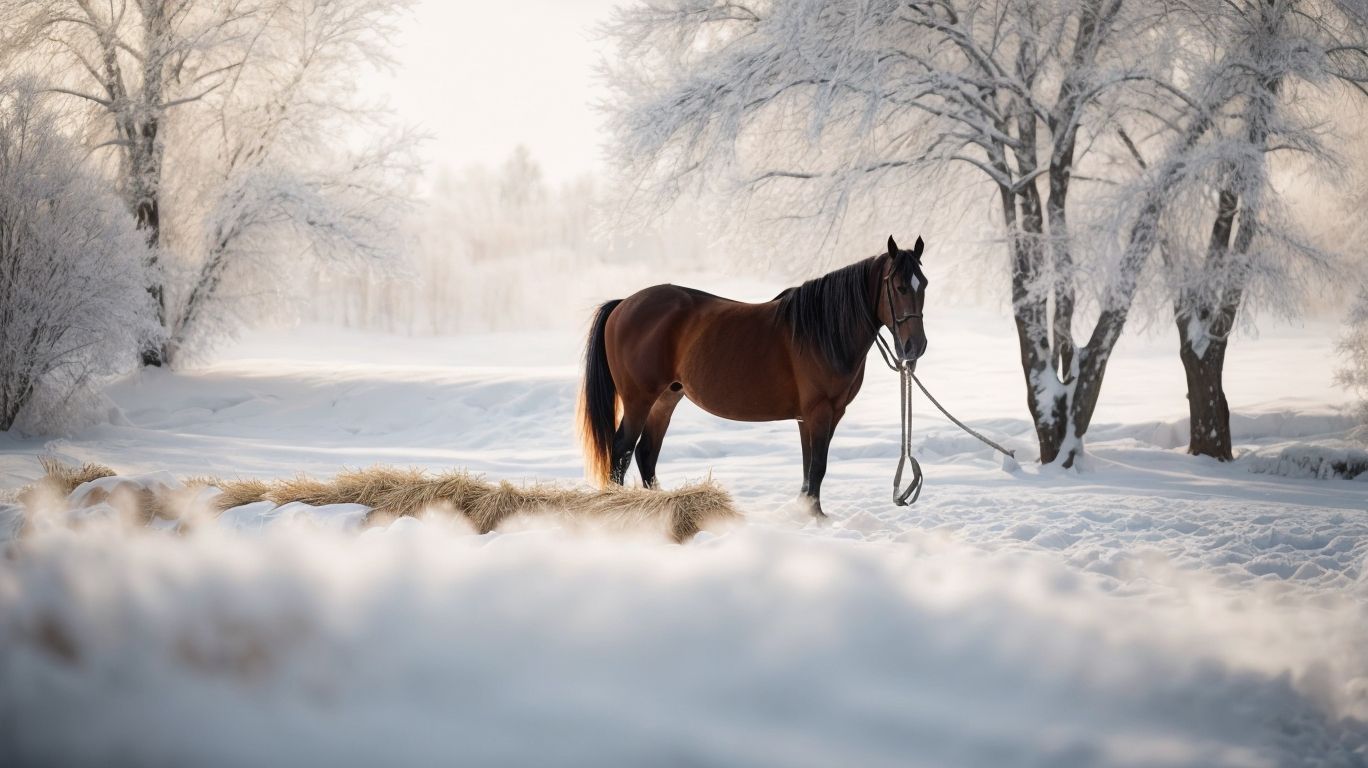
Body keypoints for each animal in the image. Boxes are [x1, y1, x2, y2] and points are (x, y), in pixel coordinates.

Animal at [578, 236, 928, 518]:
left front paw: (806, 512)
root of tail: (623, 304)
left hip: (666, 398)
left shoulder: (819, 415)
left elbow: (809, 468)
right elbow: (818, 466)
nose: (916, 346)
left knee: (646, 453)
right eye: (899, 286)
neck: (823, 331)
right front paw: (814, 517)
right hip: (639, 399)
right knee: (622, 451)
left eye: (922, 284)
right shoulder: (819, 412)